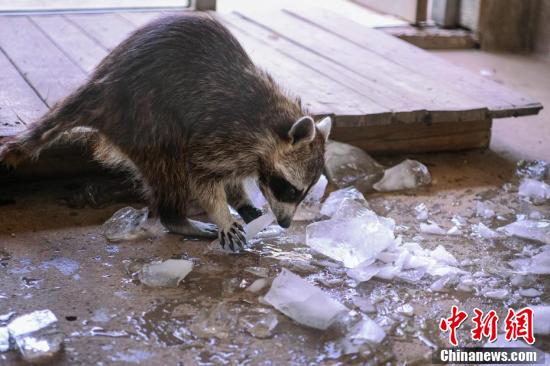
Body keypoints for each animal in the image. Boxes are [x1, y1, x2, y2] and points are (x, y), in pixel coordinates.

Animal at [0, 12, 332, 252]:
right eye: (290, 189)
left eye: (304, 193)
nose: (286, 223)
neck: (272, 124)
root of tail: (101, 85)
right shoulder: (225, 133)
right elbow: (200, 172)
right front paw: (223, 214)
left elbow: (232, 179)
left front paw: (243, 202)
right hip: (143, 116)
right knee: (171, 163)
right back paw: (177, 218)